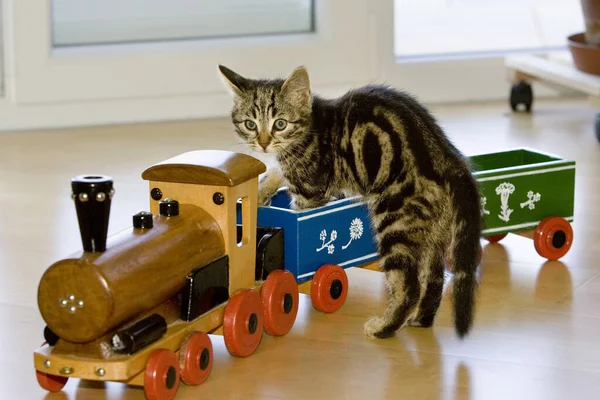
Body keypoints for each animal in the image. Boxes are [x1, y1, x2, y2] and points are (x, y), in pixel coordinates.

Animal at [218, 64, 480, 340]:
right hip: (432, 229)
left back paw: (384, 327)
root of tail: (450, 160)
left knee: (408, 286)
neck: (309, 130)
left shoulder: (309, 193)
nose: (264, 143)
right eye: (250, 124)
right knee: (434, 277)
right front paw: (259, 192)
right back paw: (421, 319)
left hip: (394, 220)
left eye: (280, 123)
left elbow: (299, 216)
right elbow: (275, 171)